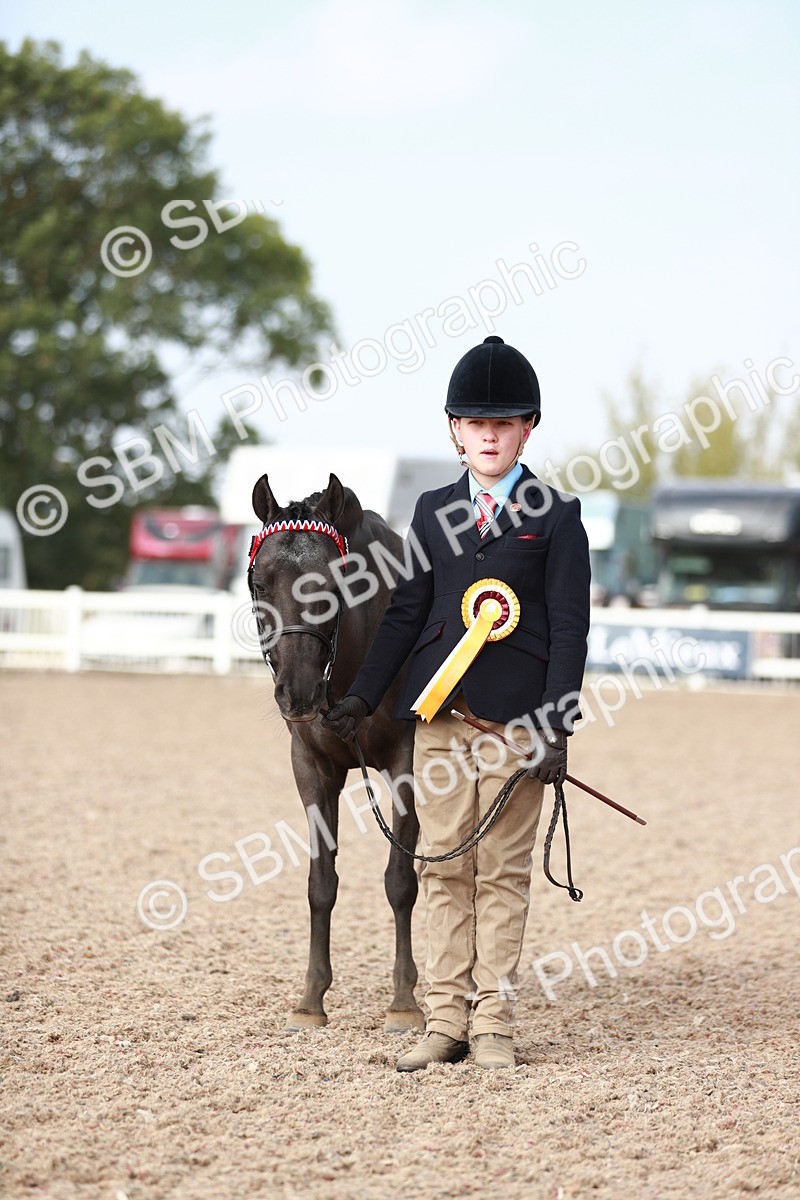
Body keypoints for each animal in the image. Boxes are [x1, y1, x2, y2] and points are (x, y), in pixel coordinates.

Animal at [249, 471, 425, 1033]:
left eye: (334, 583)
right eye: (260, 584)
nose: (298, 692)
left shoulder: (405, 761)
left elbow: (400, 880)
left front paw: (404, 1001)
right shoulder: (312, 768)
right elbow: (320, 882)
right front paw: (310, 1000)